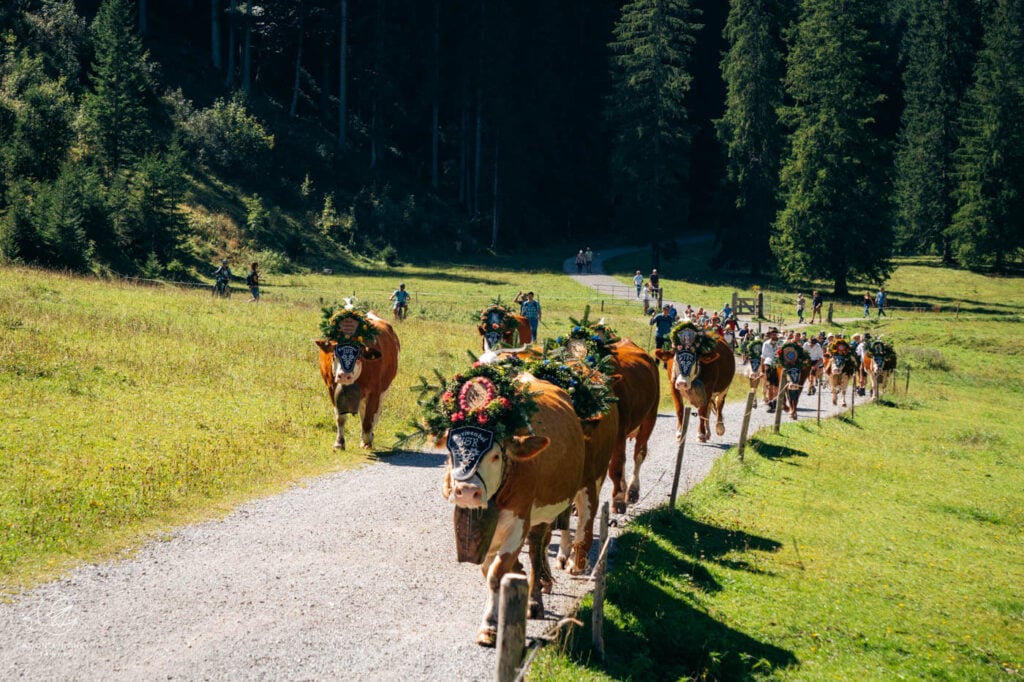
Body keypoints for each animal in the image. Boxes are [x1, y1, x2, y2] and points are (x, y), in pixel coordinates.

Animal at [315, 313, 399, 450]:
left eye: (359, 356)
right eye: (334, 355)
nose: (344, 376)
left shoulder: (375, 392)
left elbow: (369, 418)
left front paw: (366, 441)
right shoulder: (332, 388)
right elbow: (340, 417)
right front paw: (339, 443)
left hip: (384, 390)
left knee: (373, 415)